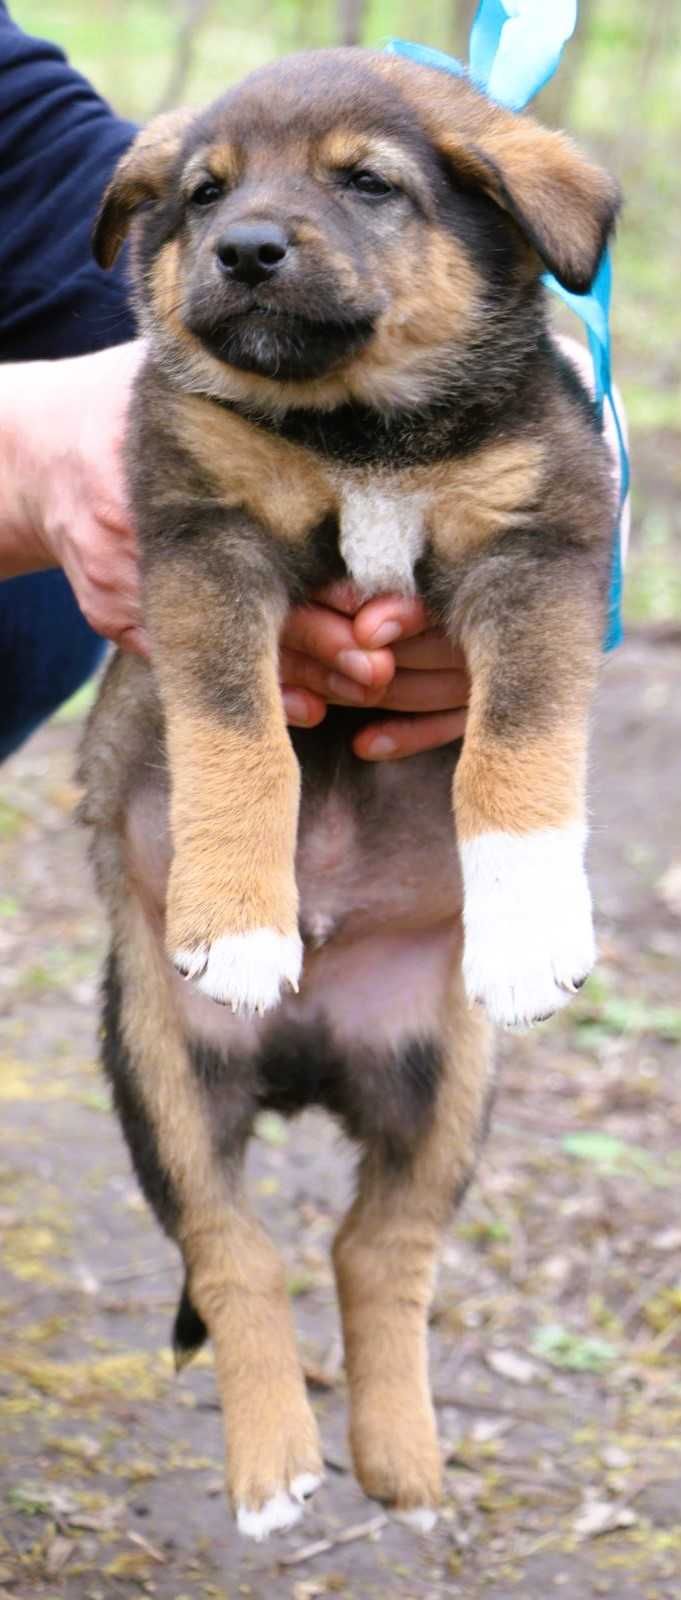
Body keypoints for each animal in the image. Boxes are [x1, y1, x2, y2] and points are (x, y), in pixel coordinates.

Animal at [81, 50, 623, 1542]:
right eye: (203, 193)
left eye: (368, 183)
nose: (245, 251)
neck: (362, 433)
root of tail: (313, 1044)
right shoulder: (202, 537)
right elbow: (239, 738)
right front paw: (240, 917)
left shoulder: (540, 546)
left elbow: (519, 742)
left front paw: (531, 923)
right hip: (164, 1065)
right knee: (236, 1247)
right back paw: (277, 1468)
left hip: (444, 1082)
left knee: (375, 1245)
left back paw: (403, 1458)